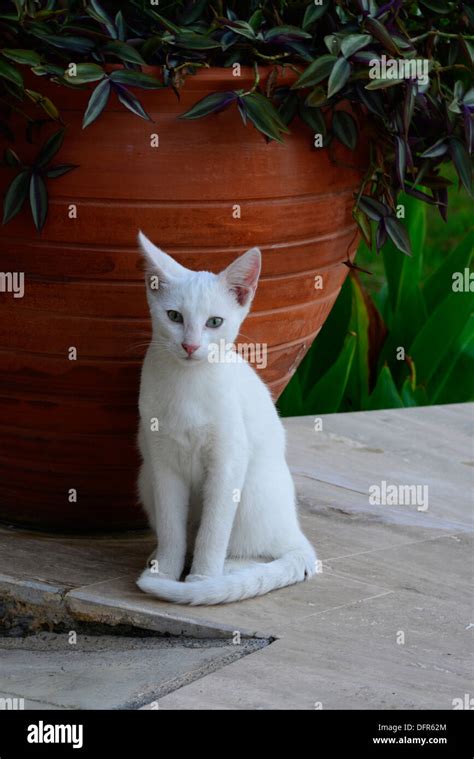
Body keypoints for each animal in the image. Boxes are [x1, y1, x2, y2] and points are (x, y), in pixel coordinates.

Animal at [135, 232, 316, 604]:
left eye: (214, 322)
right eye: (174, 316)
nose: (190, 346)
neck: (187, 383)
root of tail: (295, 533)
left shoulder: (228, 461)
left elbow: (213, 531)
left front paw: (201, 580)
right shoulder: (163, 463)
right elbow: (173, 529)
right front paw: (167, 571)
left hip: (252, 490)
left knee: (259, 552)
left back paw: (229, 571)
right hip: (145, 478)